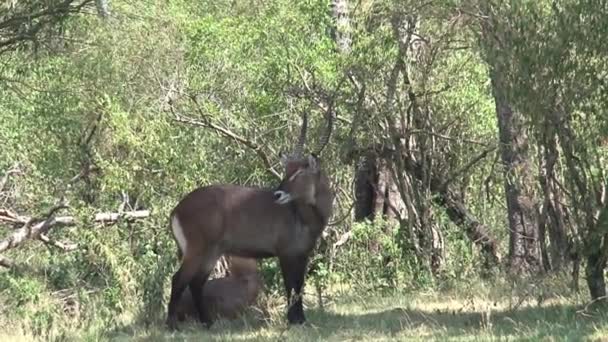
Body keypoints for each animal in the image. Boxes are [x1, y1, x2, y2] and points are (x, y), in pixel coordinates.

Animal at [165, 109, 332, 328]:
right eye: (287, 170)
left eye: (299, 172)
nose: (277, 194)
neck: (301, 213)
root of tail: (177, 209)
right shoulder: (286, 254)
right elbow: (291, 288)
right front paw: (293, 321)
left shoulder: (302, 254)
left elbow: (299, 288)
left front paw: (301, 320)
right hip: (197, 250)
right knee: (178, 280)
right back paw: (172, 325)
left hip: (212, 252)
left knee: (196, 283)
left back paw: (208, 323)